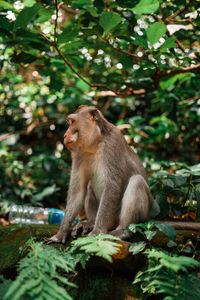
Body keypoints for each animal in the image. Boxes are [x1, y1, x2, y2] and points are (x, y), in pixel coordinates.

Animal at [47, 105, 153, 244]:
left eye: (72, 122)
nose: (65, 135)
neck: (95, 144)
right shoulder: (78, 154)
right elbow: (78, 191)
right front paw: (60, 235)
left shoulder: (113, 144)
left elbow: (111, 188)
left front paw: (97, 232)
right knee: (89, 186)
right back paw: (90, 223)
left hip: (133, 216)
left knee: (137, 181)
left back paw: (122, 231)